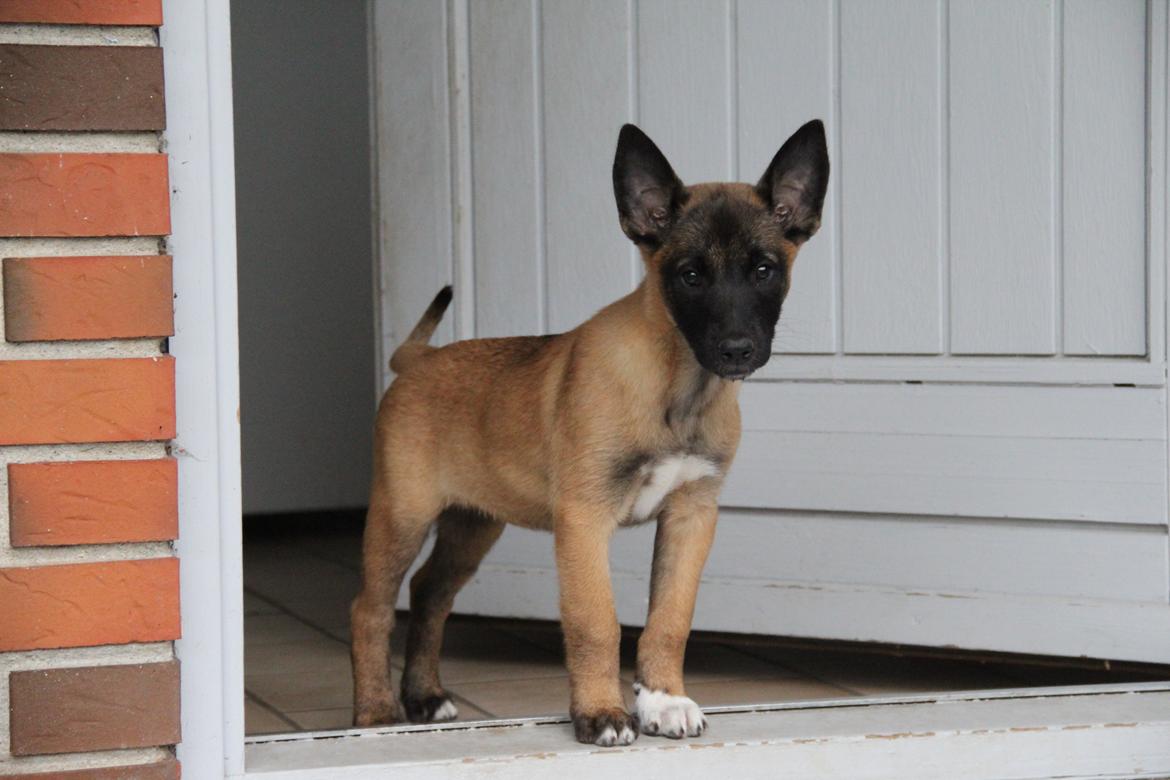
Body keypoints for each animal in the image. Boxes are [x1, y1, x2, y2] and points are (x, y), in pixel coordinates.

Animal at [351, 119, 828, 748]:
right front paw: (602, 712)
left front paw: (663, 700)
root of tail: (417, 360)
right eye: (690, 275)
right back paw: (375, 714)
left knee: (430, 594)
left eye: (764, 270)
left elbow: (670, 619)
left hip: (473, 522)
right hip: (402, 514)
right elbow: (596, 622)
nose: (736, 350)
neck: (676, 386)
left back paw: (425, 697)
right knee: (371, 608)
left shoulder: (691, 516)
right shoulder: (584, 520)